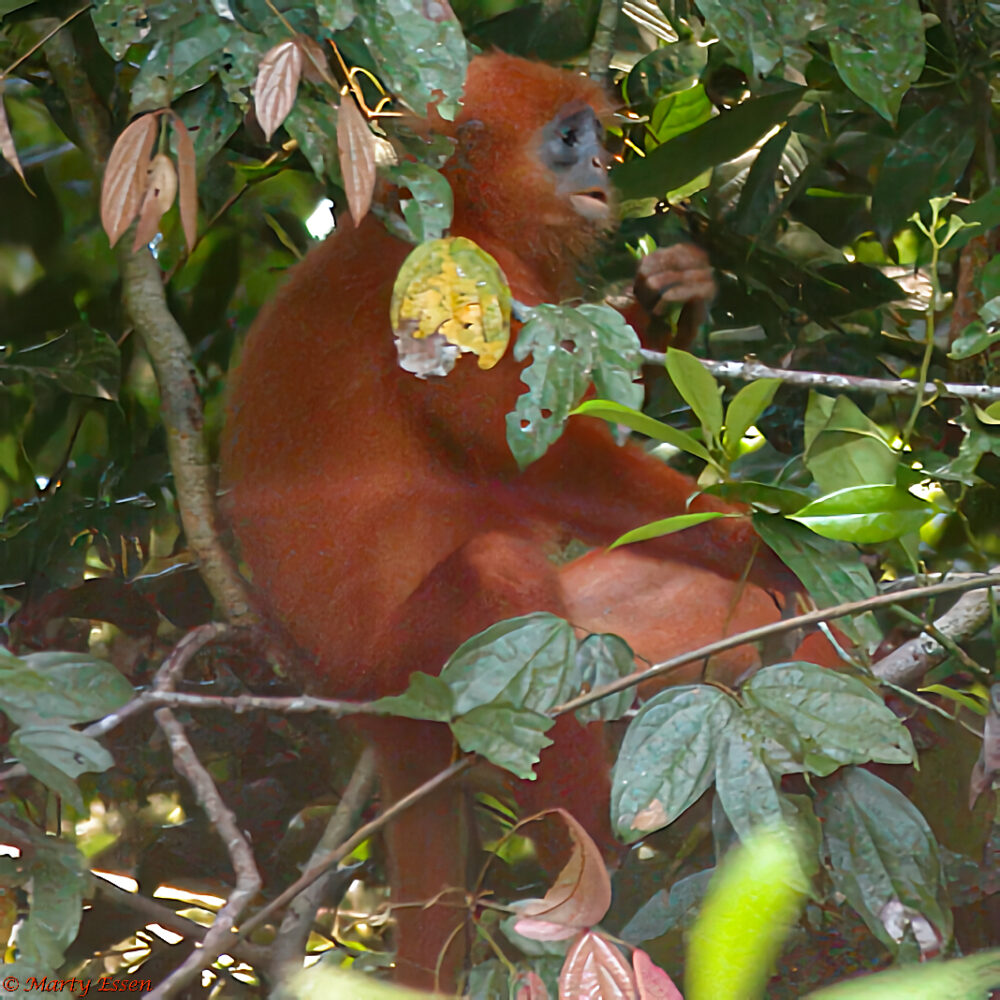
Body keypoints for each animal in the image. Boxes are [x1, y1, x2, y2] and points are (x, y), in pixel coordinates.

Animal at [220, 51, 821, 989]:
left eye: (595, 135)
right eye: (568, 138)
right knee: (500, 574)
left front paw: (672, 296)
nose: (601, 163)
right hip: (410, 666)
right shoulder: (460, 277)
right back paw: (596, 856)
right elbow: (538, 458)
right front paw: (753, 539)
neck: (457, 209)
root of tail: (353, 702)